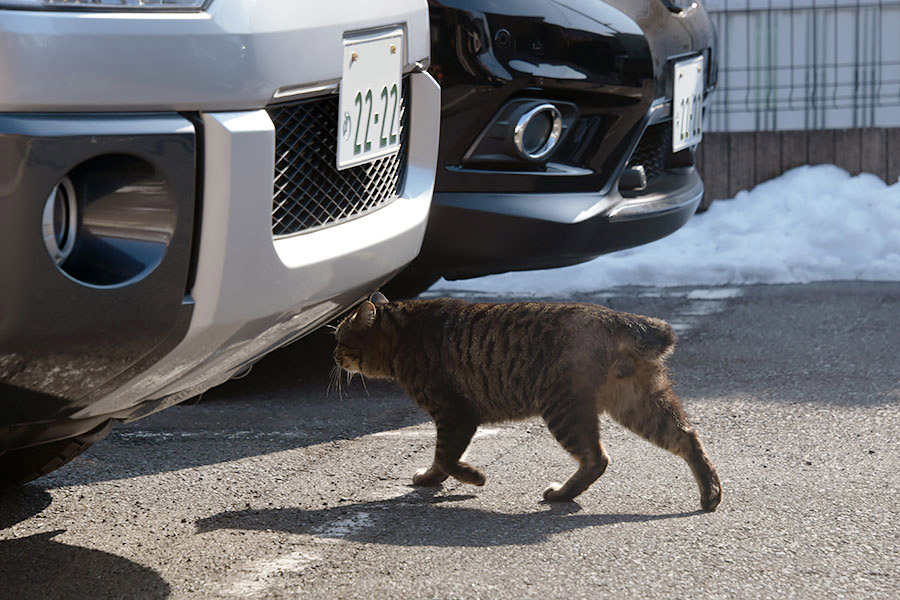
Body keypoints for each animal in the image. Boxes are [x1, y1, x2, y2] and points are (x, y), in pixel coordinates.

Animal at [334, 292, 720, 510]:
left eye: (339, 338)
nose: (334, 356)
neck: (406, 335)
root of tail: (618, 319)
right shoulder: (455, 417)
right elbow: (441, 458)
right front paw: (435, 478)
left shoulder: (454, 413)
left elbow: (445, 456)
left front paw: (470, 478)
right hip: (637, 402)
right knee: (687, 437)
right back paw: (711, 493)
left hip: (564, 407)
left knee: (597, 458)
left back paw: (561, 494)